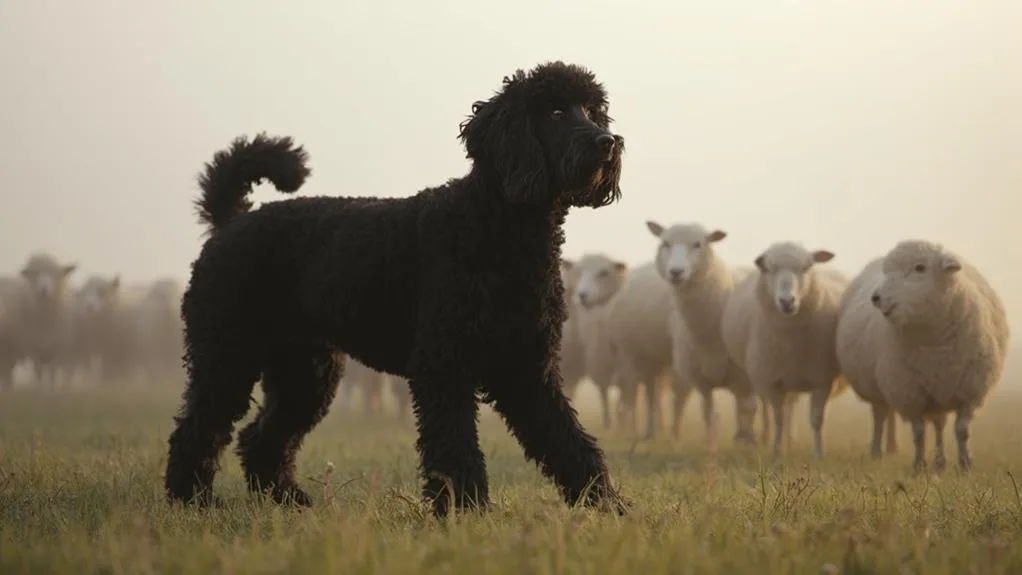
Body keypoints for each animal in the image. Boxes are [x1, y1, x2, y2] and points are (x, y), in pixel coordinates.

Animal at [163, 60, 625, 518]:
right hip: (226, 355)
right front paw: (464, 510)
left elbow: (568, 441)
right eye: (556, 112)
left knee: (260, 437)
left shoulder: (527, 368)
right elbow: (455, 448)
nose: (607, 142)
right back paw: (192, 501)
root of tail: (231, 220)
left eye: (592, 110)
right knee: (196, 430)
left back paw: (288, 500)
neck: (496, 227)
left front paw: (607, 504)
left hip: (305, 371)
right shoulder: (443, 366)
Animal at [580, 254, 690, 439]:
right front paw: (648, 431)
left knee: (681, 390)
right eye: (579, 271)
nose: (582, 295)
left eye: (604, 272)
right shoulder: (649, 359)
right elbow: (649, 394)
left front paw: (629, 430)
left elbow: (632, 391)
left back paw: (675, 433)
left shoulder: (629, 354)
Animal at [645, 220, 760, 449]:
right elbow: (709, 415)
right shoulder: (701, 381)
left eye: (698, 244)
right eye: (665, 243)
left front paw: (748, 444)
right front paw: (711, 448)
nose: (676, 271)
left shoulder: (746, 377)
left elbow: (749, 409)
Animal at [723, 242, 850, 459]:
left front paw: (819, 455)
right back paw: (769, 439)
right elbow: (779, 419)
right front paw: (776, 453)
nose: (787, 301)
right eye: (770, 269)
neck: (791, 342)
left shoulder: (822, 380)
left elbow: (817, 419)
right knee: (770, 410)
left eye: (806, 267)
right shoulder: (772, 381)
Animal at [838, 238, 1005, 471]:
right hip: (878, 388)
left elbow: (962, 430)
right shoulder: (909, 393)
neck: (935, 344)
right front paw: (918, 467)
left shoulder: (971, 390)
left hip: (938, 391)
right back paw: (877, 453)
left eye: (920, 268)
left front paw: (965, 465)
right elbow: (918, 433)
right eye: (886, 271)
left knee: (939, 424)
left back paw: (940, 463)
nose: (876, 298)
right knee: (880, 416)